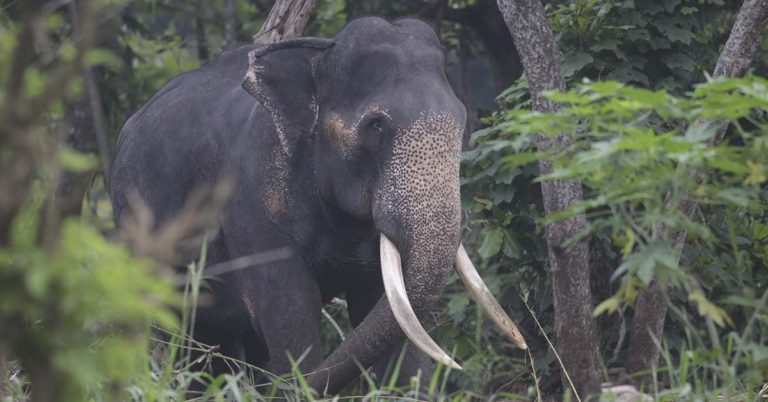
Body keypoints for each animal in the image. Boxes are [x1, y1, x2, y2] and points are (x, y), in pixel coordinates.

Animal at [110, 16, 525, 395]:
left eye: (462, 120)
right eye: (376, 126)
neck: (315, 56)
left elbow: (387, 308)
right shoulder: (250, 200)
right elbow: (288, 308)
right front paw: (296, 381)